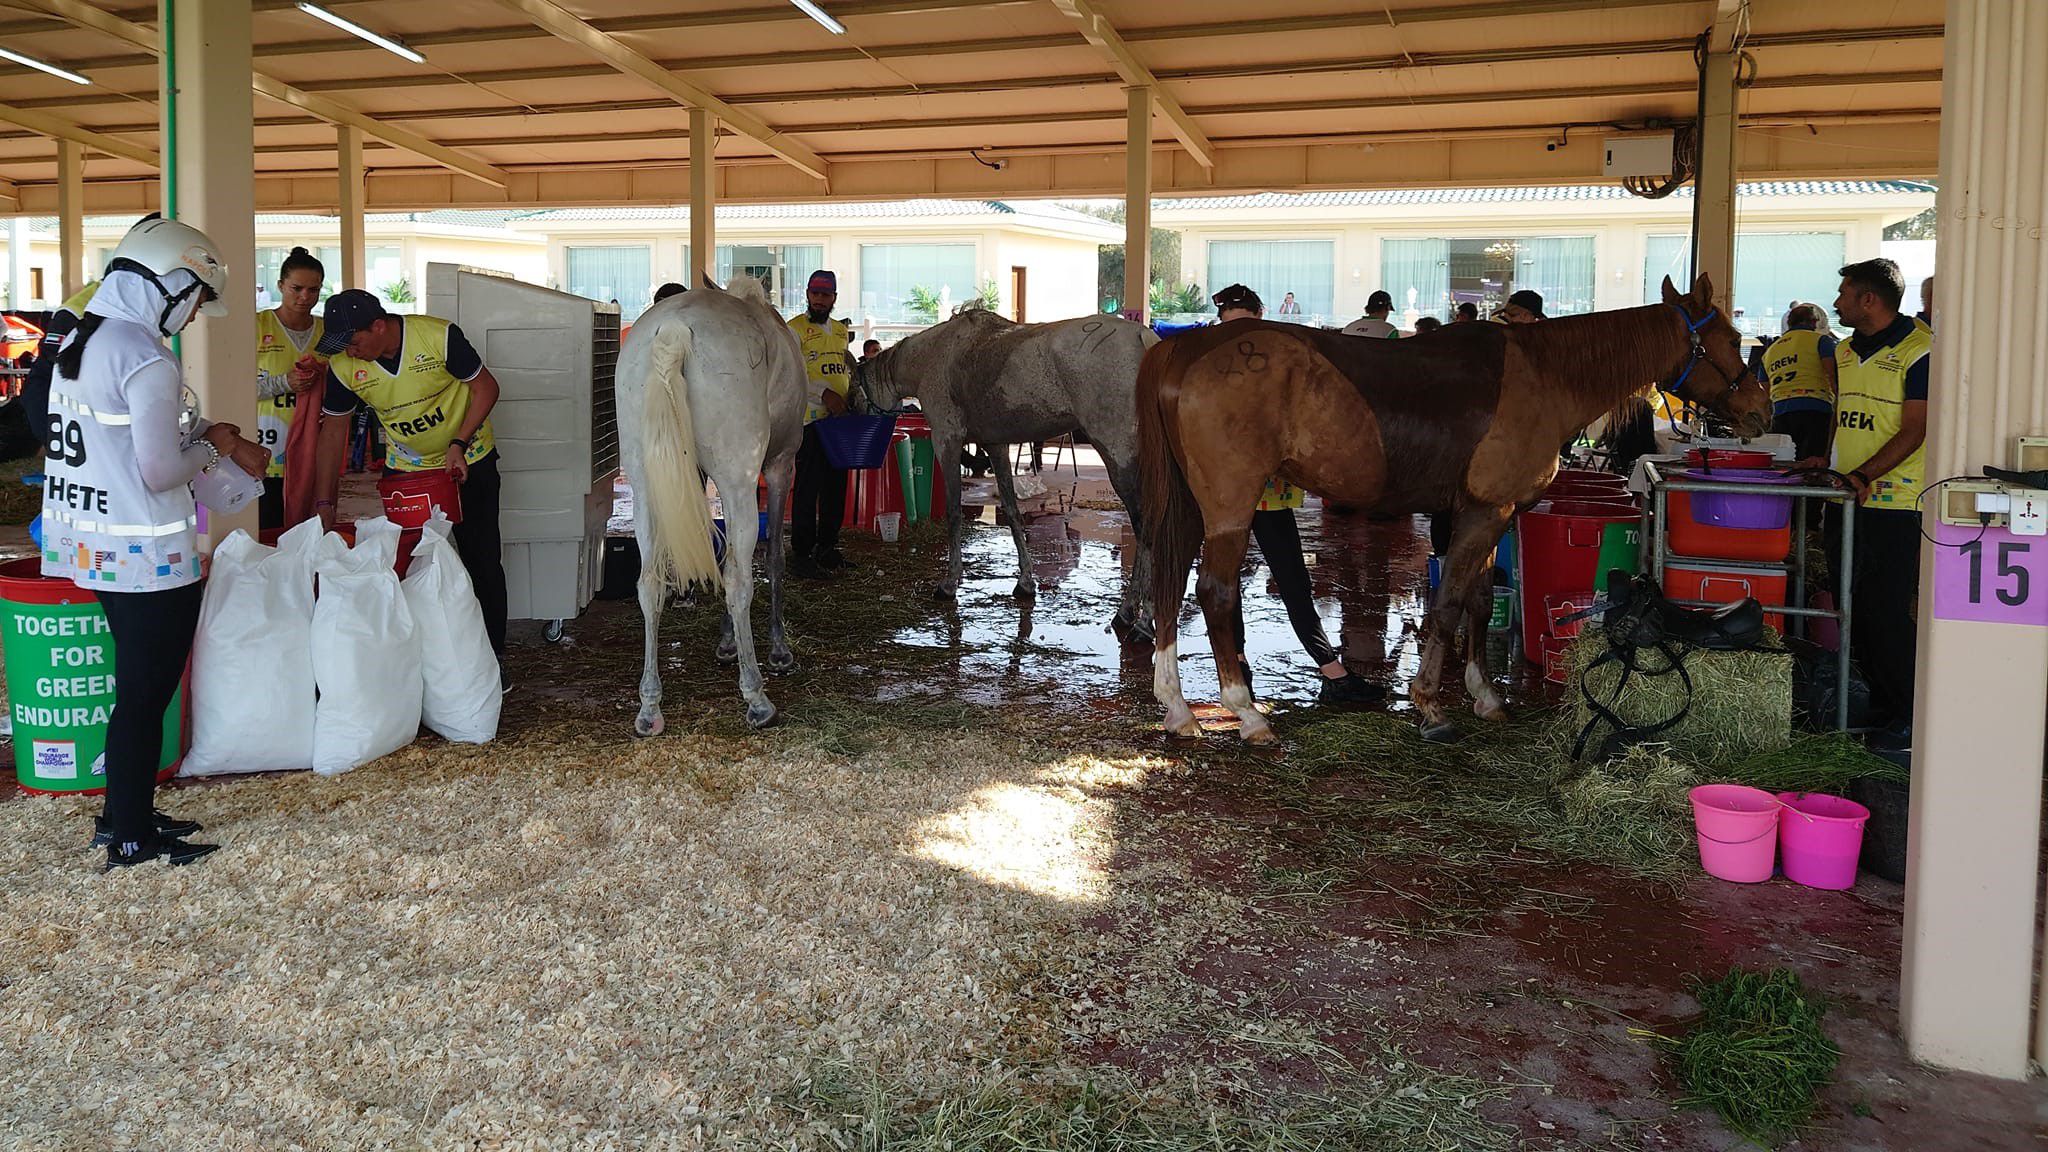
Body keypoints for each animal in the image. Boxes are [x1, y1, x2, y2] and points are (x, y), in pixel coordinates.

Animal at [614, 274, 798, 729]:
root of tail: (674, 329)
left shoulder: (692, 477)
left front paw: (726, 640)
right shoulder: (780, 466)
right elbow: (773, 558)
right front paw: (777, 649)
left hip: (646, 488)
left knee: (649, 581)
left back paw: (650, 704)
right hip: (739, 483)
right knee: (737, 578)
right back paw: (756, 697)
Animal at [856, 305, 1163, 635]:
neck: (934, 354)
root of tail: (1143, 337)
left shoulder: (947, 441)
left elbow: (953, 513)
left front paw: (950, 583)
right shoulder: (996, 446)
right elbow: (1013, 512)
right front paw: (1025, 583)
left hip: (1118, 459)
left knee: (1146, 529)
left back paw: (1137, 617)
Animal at [1138, 278, 1777, 746]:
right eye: (1729, 338)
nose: (1761, 412)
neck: (1545, 376)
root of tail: (1186, 348)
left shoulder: (1486, 515)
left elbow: (1477, 601)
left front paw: (1485, 695)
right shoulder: (1486, 512)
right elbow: (1446, 606)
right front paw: (1429, 704)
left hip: (1192, 506)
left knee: (1169, 581)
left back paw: (1177, 708)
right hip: (1229, 506)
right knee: (1215, 592)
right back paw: (1245, 713)